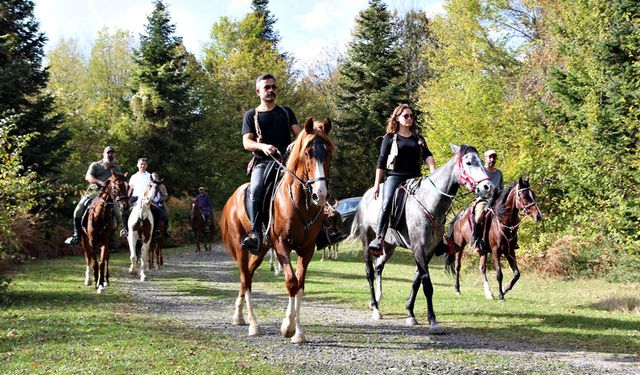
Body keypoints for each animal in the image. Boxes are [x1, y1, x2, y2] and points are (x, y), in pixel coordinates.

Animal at [220, 118, 336, 344]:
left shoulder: (306, 249)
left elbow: (300, 286)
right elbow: (291, 282)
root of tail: (232, 198)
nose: (320, 194)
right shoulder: (282, 246)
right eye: (308, 153)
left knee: (247, 276)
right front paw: (288, 327)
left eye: (328, 154)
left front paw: (297, 332)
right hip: (241, 247)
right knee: (246, 279)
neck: (300, 203)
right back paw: (253, 325)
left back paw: (239, 316)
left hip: (261, 250)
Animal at [350, 145, 496, 334]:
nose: (488, 187)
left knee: (378, 267)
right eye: (469, 162)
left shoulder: (429, 250)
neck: (430, 202)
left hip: (388, 246)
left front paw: (410, 313)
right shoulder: (418, 248)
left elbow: (416, 281)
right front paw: (432, 320)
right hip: (366, 240)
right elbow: (426, 284)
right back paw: (375, 308)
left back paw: (377, 299)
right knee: (368, 271)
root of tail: (365, 197)